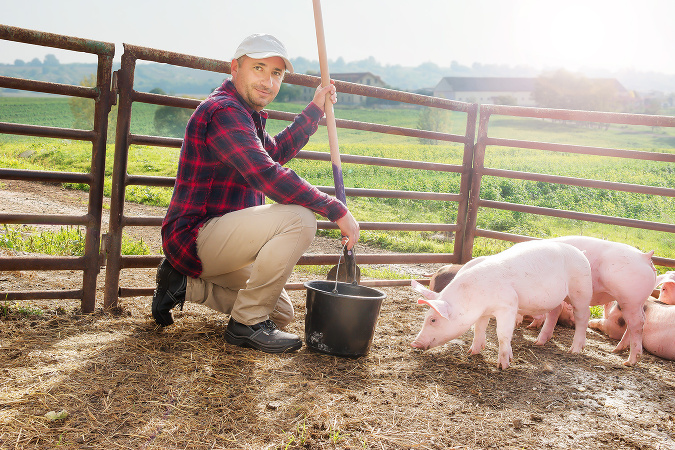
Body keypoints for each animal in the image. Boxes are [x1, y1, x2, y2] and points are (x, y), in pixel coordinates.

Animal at [412, 239, 592, 370]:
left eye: (433, 320)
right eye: (426, 317)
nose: (414, 343)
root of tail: (581, 253)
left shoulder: (508, 305)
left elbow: (503, 334)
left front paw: (503, 366)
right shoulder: (483, 312)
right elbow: (478, 329)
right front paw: (472, 353)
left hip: (581, 289)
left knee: (583, 317)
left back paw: (574, 350)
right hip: (557, 297)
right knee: (556, 311)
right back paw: (538, 342)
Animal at [548, 236, 656, 366]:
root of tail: (645, 257)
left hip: (630, 299)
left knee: (637, 323)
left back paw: (629, 361)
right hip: (636, 302)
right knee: (636, 321)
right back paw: (617, 350)